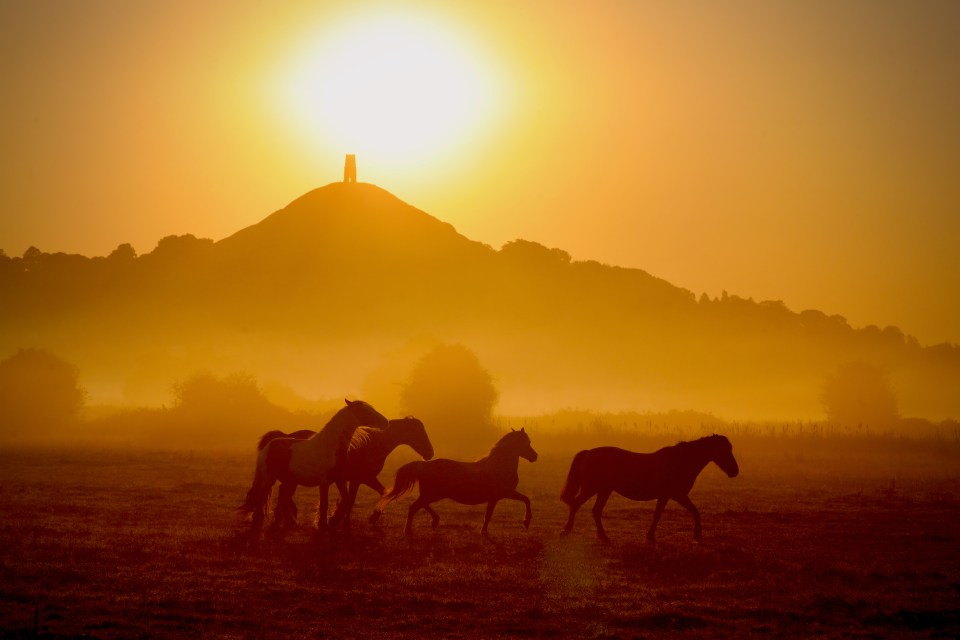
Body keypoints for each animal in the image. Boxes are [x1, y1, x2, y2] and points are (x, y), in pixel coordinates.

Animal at [238, 398, 388, 532]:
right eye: (365, 411)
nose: (385, 422)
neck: (330, 447)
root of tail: (267, 446)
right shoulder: (324, 482)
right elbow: (324, 504)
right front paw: (323, 526)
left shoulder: (340, 480)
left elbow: (346, 500)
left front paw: (333, 521)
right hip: (269, 479)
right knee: (262, 499)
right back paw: (258, 524)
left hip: (289, 482)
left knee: (283, 499)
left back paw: (293, 524)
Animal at [255, 418, 436, 528]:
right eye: (418, 432)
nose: (430, 453)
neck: (372, 444)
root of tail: (284, 436)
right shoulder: (363, 478)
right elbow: (360, 498)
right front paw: (341, 519)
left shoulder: (360, 479)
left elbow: (362, 497)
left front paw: (343, 520)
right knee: (282, 496)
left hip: (291, 480)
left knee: (282, 495)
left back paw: (282, 521)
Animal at [376, 430, 540, 536]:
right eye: (526, 443)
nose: (535, 456)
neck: (499, 465)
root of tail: (424, 465)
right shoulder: (506, 493)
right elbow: (526, 499)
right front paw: (526, 521)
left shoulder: (494, 498)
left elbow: (488, 515)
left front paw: (483, 531)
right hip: (432, 494)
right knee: (414, 507)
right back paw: (409, 531)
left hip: (431, 495)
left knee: (420, 505)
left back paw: (434, 521)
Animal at [560, 432, 740, 544]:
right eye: (723, 450)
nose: (735, 471)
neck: (680, 462)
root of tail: (589, 452)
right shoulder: (669, 495)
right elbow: (658, 515)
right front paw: (651, 537)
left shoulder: (678, 495)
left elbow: (694, 511)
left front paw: (697, 536)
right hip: (592, 489)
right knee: (576, 504)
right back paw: (566, 531)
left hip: (604, 491)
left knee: (595, 511)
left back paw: (603, 537)